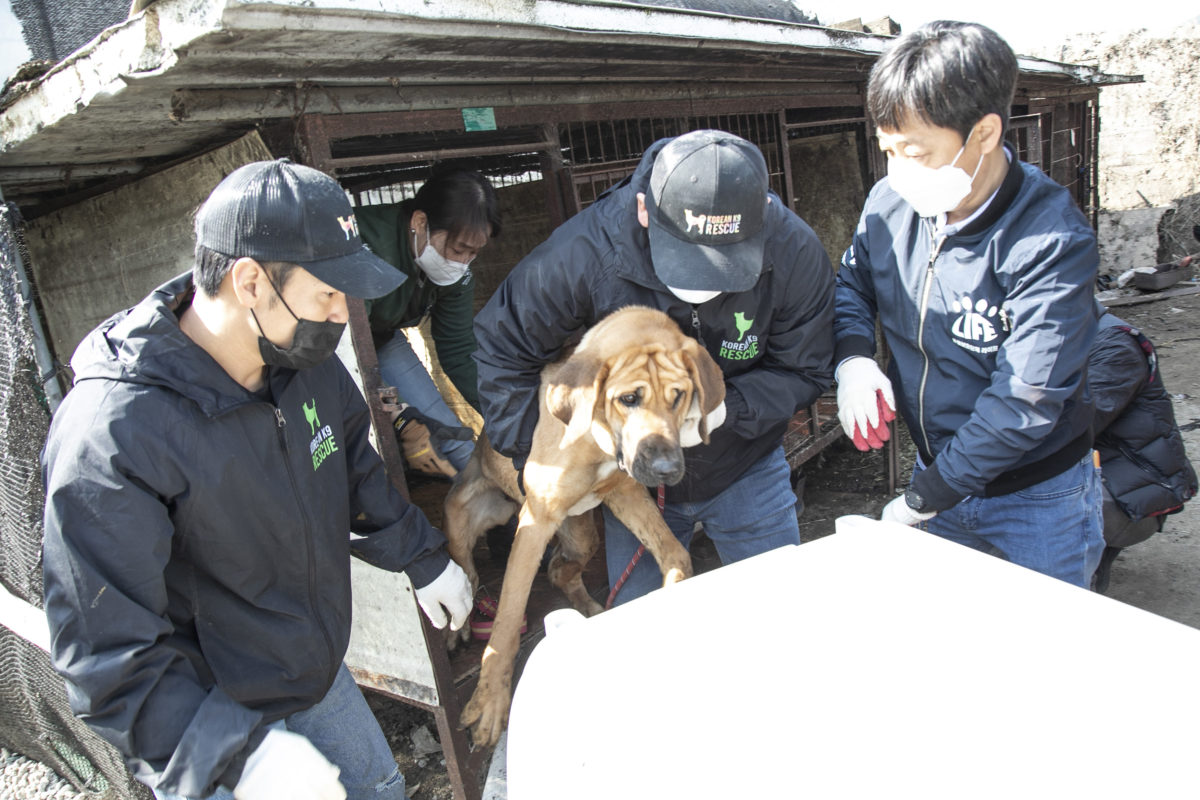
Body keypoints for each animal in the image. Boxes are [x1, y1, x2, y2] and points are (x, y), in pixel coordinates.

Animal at [448, 307, 720, 753]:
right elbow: (506, 622)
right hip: (466, 517)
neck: (597, 436)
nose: (668, 470)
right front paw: (489, 702)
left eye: (679, 396)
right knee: (466, 572)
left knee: (560, 569)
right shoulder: (536, 521)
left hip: (581, 535)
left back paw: (589, 613)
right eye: (629, 398)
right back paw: (461, 626)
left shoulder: (626, 491)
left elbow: (674, 552)